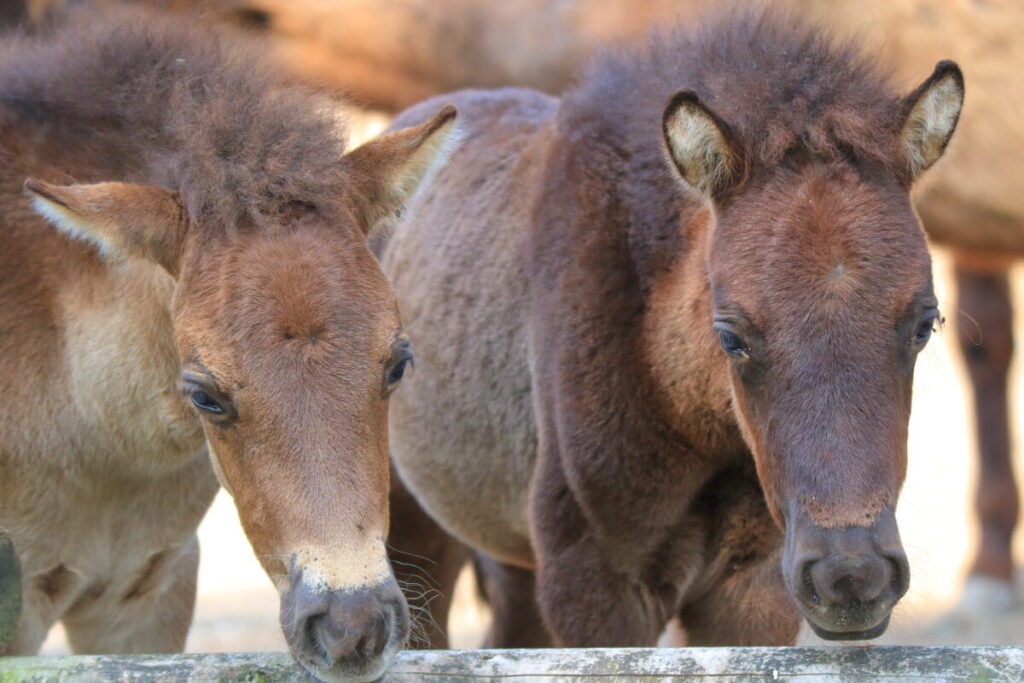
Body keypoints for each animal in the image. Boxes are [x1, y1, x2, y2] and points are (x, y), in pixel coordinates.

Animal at [380, 11, 964, 646]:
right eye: (732, 336)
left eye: (926, 323)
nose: (851, 577)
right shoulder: (594, 584)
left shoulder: (754, 587)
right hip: (412, 535)